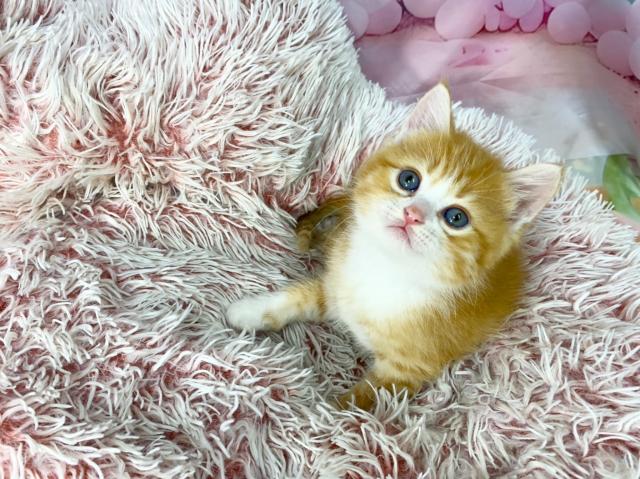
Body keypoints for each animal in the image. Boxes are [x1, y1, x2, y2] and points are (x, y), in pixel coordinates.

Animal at [226, 83, 562, 410]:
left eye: (456, 217)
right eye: (409, 179)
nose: (412, 214)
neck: (387, 268)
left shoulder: (407, 369)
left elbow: (357, 404)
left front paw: (323, 418)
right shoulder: (338, 285)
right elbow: (300, 296)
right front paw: (247, 311)